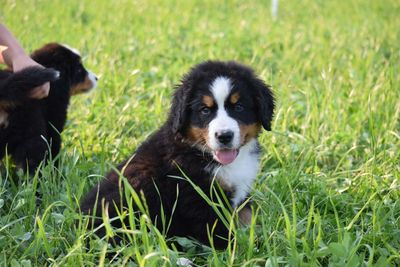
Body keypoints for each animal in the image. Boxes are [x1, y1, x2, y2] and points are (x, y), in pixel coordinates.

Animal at [0, 44, 97, 174]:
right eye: (79, 70)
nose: (96, 78)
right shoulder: (54, 120)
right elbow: (54, 146)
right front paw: (56, 171)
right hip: (31, 133)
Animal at [81, 60, 276, 249]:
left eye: (239, 107)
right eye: (205, 110)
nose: (224, 136)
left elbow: (248, 217)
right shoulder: (198, 199)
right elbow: (222, 233)